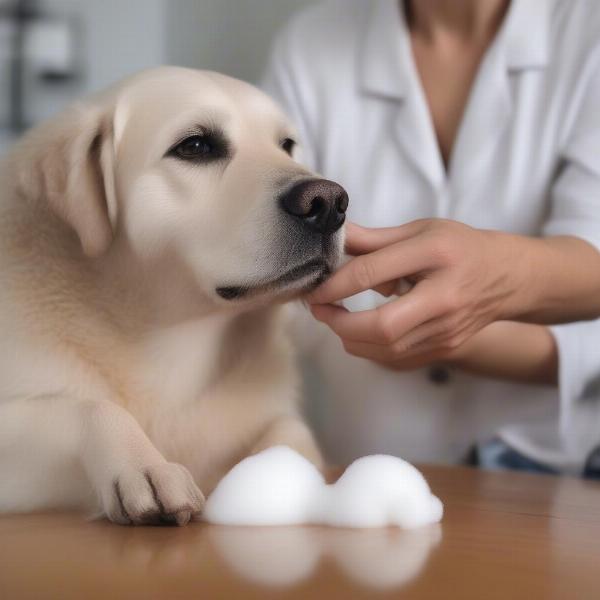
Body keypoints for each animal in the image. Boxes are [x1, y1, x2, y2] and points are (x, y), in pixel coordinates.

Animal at [0, 67, 346, 524]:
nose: (329, 202)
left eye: (287, 145)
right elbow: (92, 408)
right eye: (195, 146)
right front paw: (145, 466)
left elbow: (292, 428)